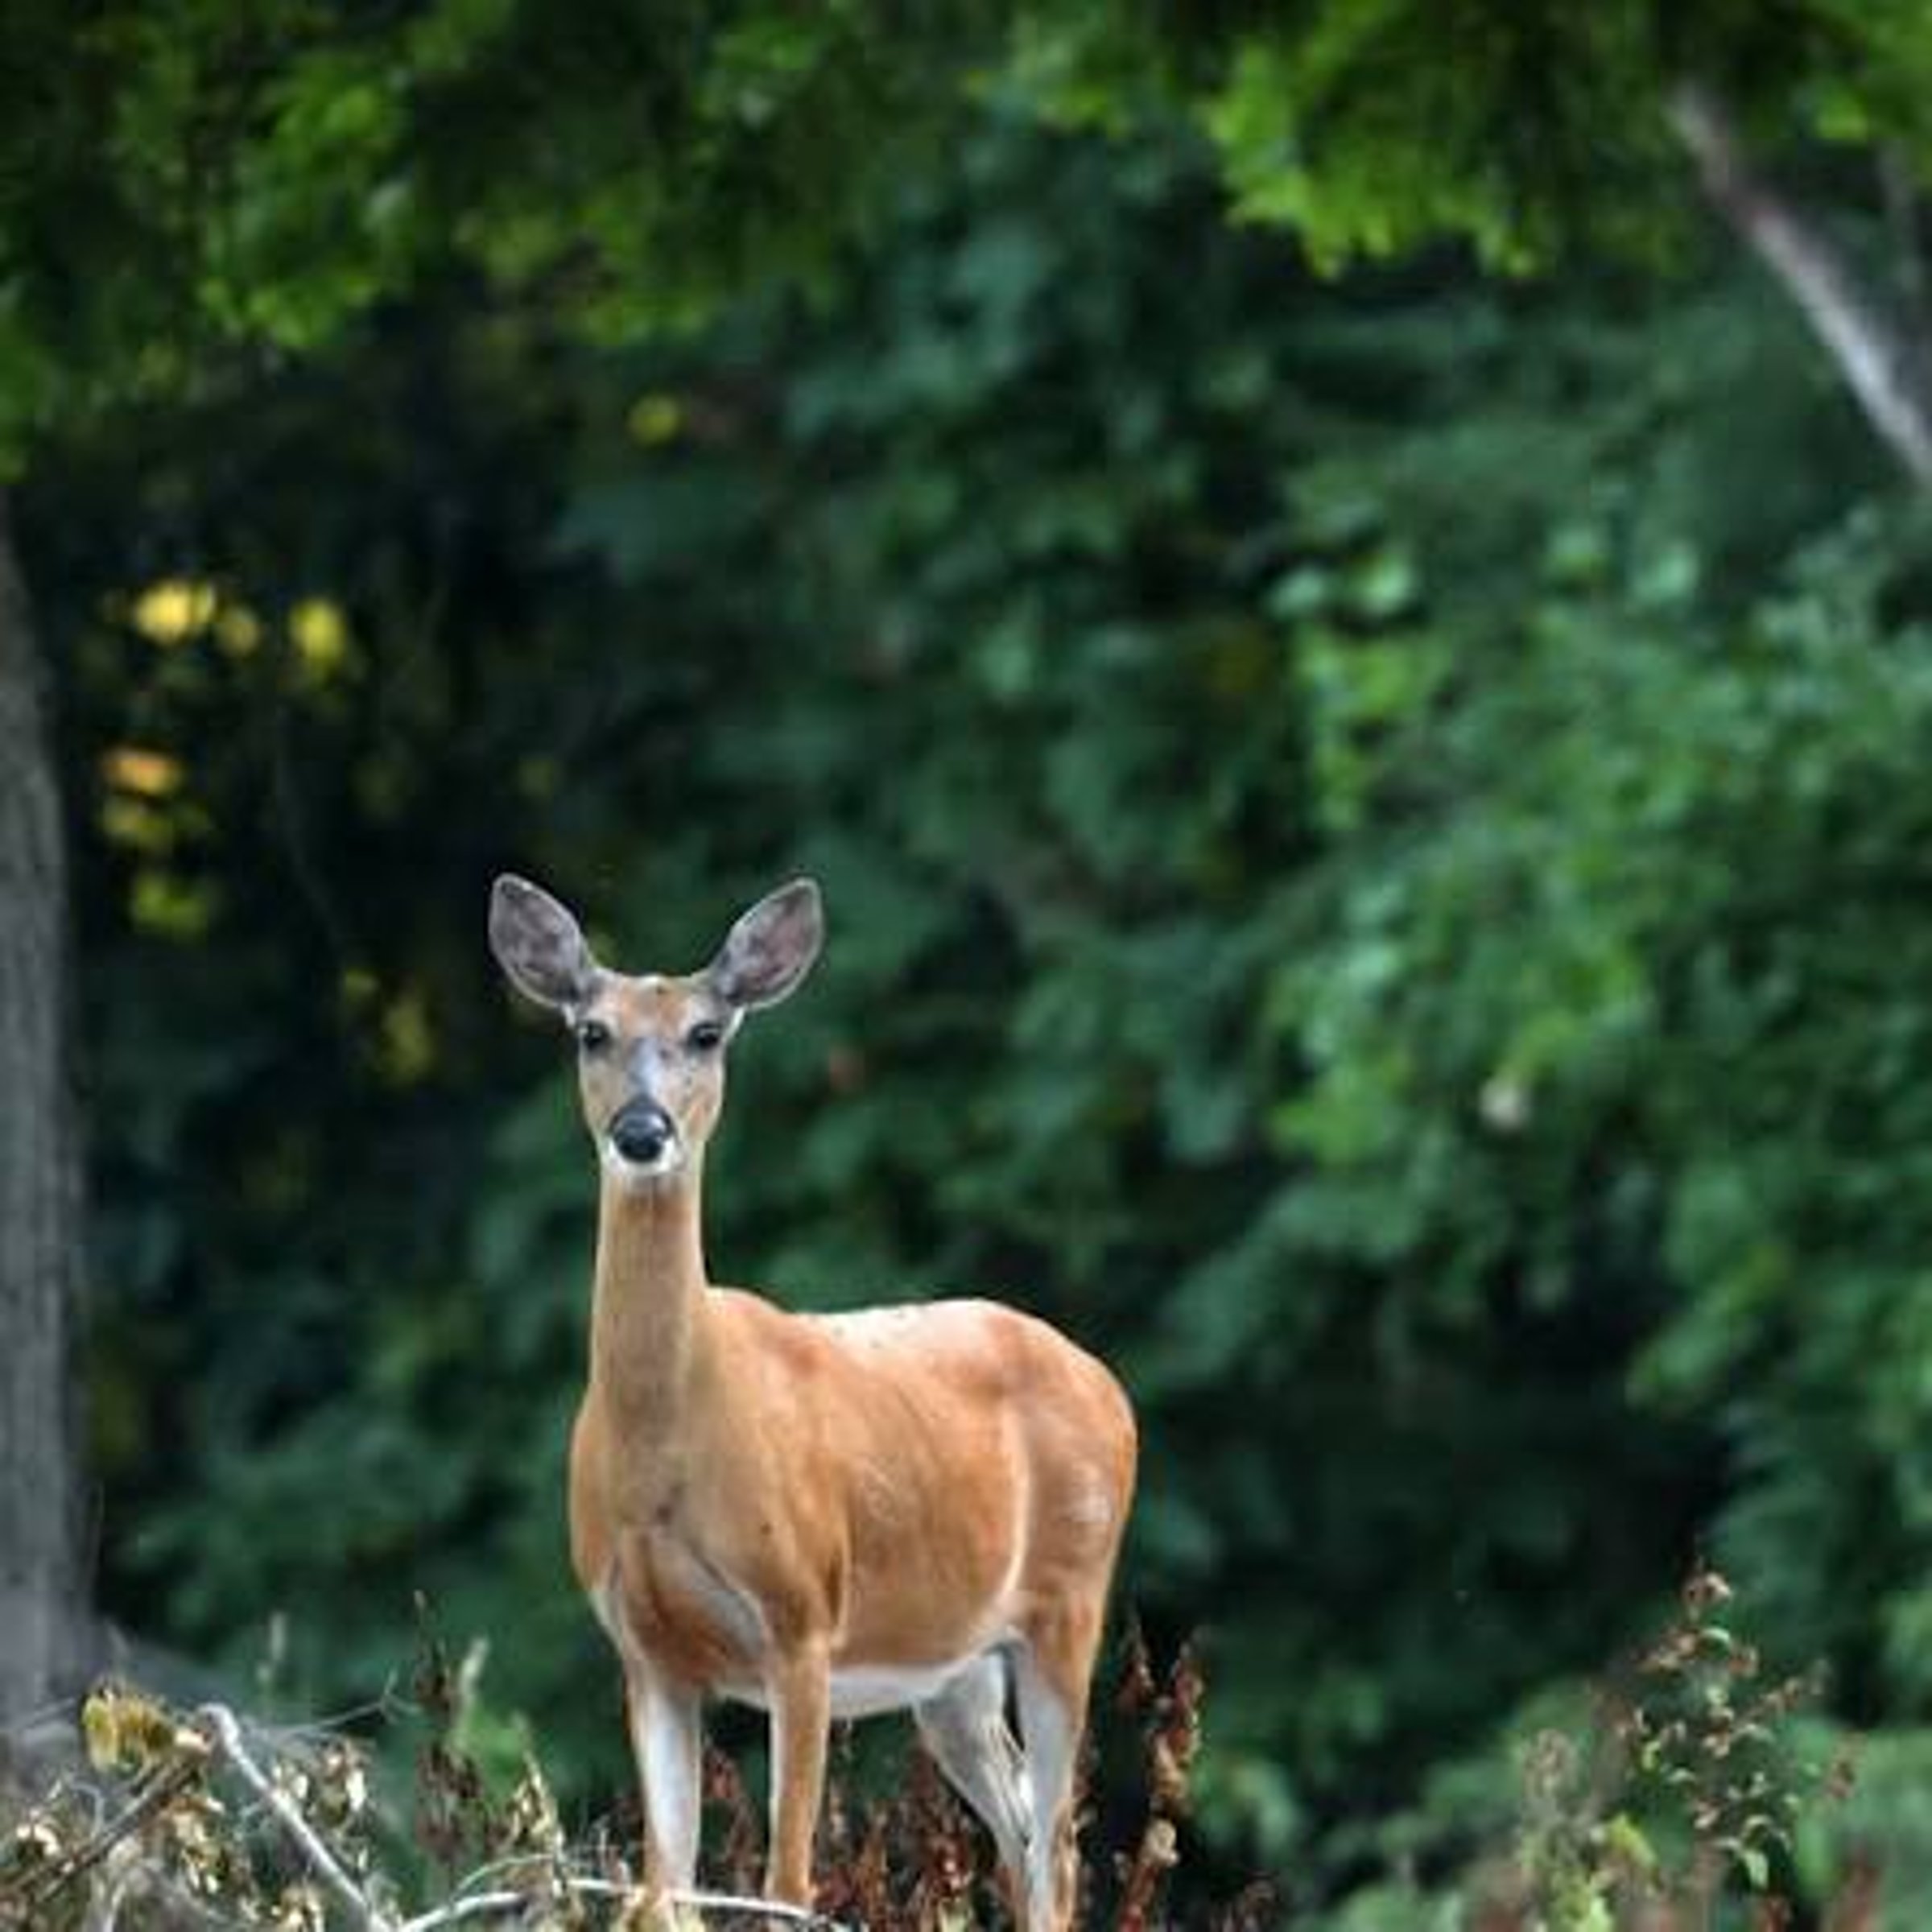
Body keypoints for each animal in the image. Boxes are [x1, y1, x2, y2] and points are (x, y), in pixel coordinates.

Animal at [487, 874, 1138, 1930]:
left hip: (1069, 1599)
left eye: (707, 1033)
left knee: (1060, 1851)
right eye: (590, 1031)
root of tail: (1110, 1384)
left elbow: (785, 1886)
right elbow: (665, 1888)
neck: (670, 1443)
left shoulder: (801, 1616)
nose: (642, 1131)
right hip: (954, 1666)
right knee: (1019, 1832)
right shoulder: (646, 1649)